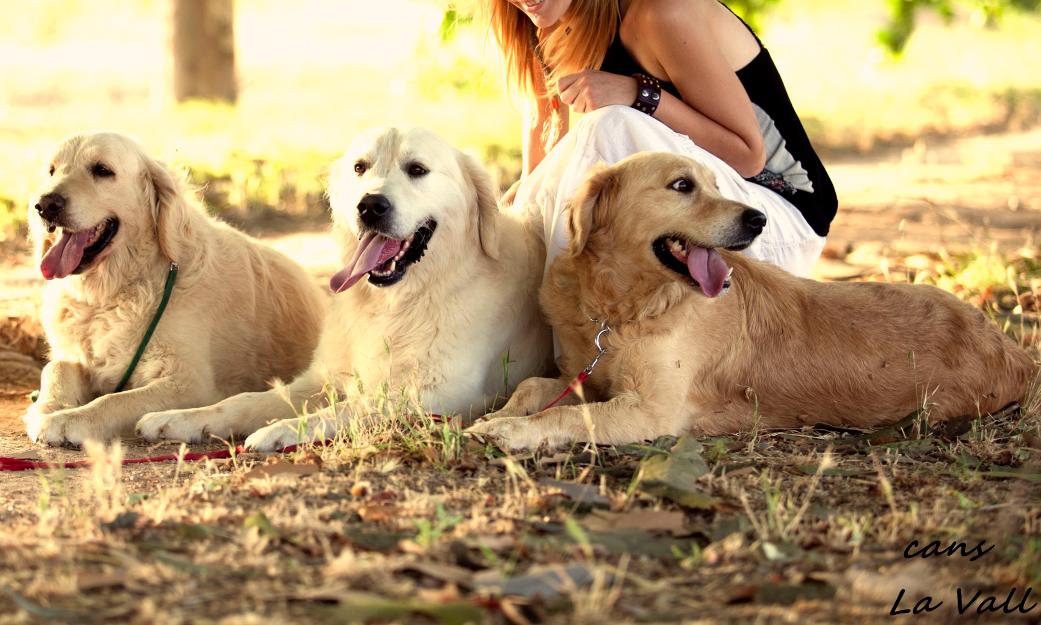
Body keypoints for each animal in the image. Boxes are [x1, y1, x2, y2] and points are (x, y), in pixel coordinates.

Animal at [25, 131, 324, 445]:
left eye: (102, 170)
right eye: (52, 170)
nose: (45, 205)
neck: (110, 292)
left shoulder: (190, 384)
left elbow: (113, 401)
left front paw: (68, 419)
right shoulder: (76, 358)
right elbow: (55, 368)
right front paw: (48, 406)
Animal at [138, 127, 553, 449]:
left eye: (417, 170)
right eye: (360, 168)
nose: (370, 205)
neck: (396, 303)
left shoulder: (437, 394)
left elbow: (349, 407)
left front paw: (283, 430)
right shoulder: (321, 379)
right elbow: (245, 400)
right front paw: (182, 418)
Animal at [468, 150, 1036, 449]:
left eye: (715, 184)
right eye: (682, 186)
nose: (757, 219)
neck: (622, 306)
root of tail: (1014, 351)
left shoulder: (653, 411)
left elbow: (563, 417)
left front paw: (511, 430)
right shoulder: (585, 377)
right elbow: (534, 387)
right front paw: (496, 416)